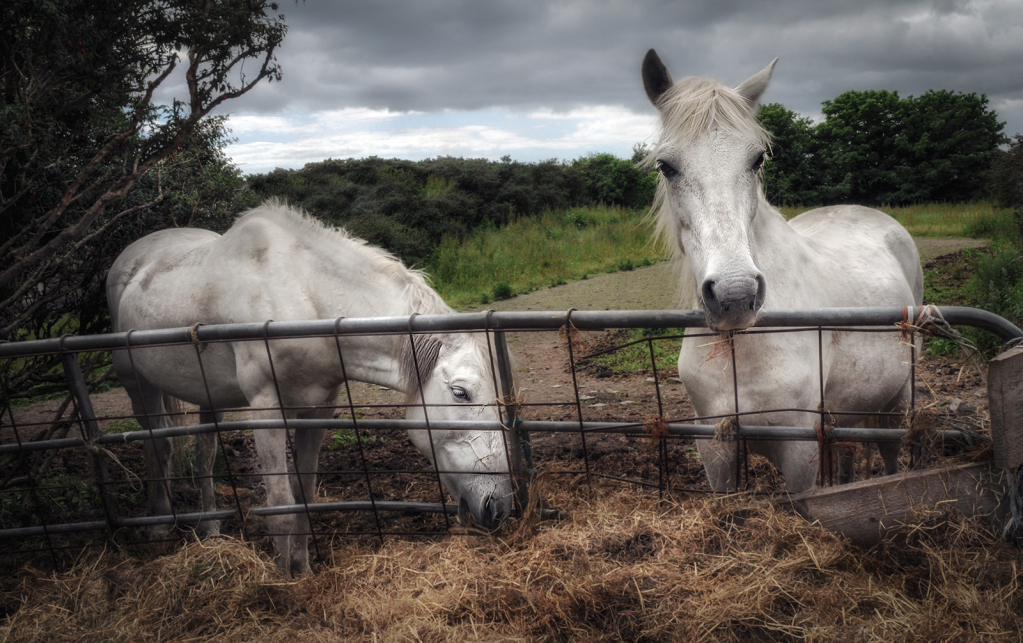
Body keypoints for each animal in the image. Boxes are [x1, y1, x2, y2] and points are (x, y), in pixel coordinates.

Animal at [107, 201, 515, 576]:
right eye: (461, 393)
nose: (499, 507)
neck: (304, 295)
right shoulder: (266, 410)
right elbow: (280, 505)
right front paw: (282, 581)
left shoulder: (319, 410)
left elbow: (303, 495)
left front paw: (302, 569)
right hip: (137, 384)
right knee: (159, 443)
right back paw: (159, 524)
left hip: (210, 396)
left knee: (204, 451)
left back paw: (211, 528)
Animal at [642, 50, 924, 490]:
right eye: (666, 166)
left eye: (757, 159)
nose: (735, 295)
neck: (742, 347)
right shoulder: (715, 451)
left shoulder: (798, 454)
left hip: (898, 401)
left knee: (891, 456)